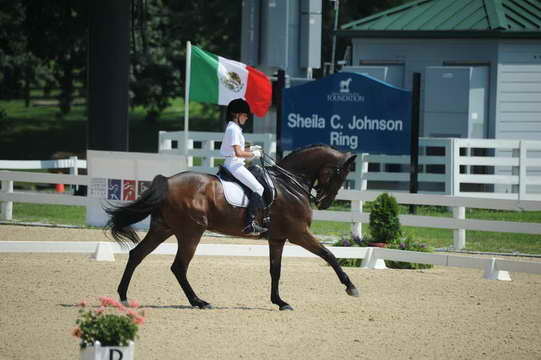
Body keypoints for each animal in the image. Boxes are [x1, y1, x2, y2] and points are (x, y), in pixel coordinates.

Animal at [105, 143, 358, 310]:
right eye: (341, 175)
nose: (324, 203)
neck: (289, 183)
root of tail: (167, 181)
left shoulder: (277, 238)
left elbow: (275, 270)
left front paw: (280, 302)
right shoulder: (299, 233)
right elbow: (329, 254)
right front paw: (351, 287)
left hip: (163, 228)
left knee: (137, 255)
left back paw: (123, 297)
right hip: (191, 232)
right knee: (178, 267)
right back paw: (199, 302)